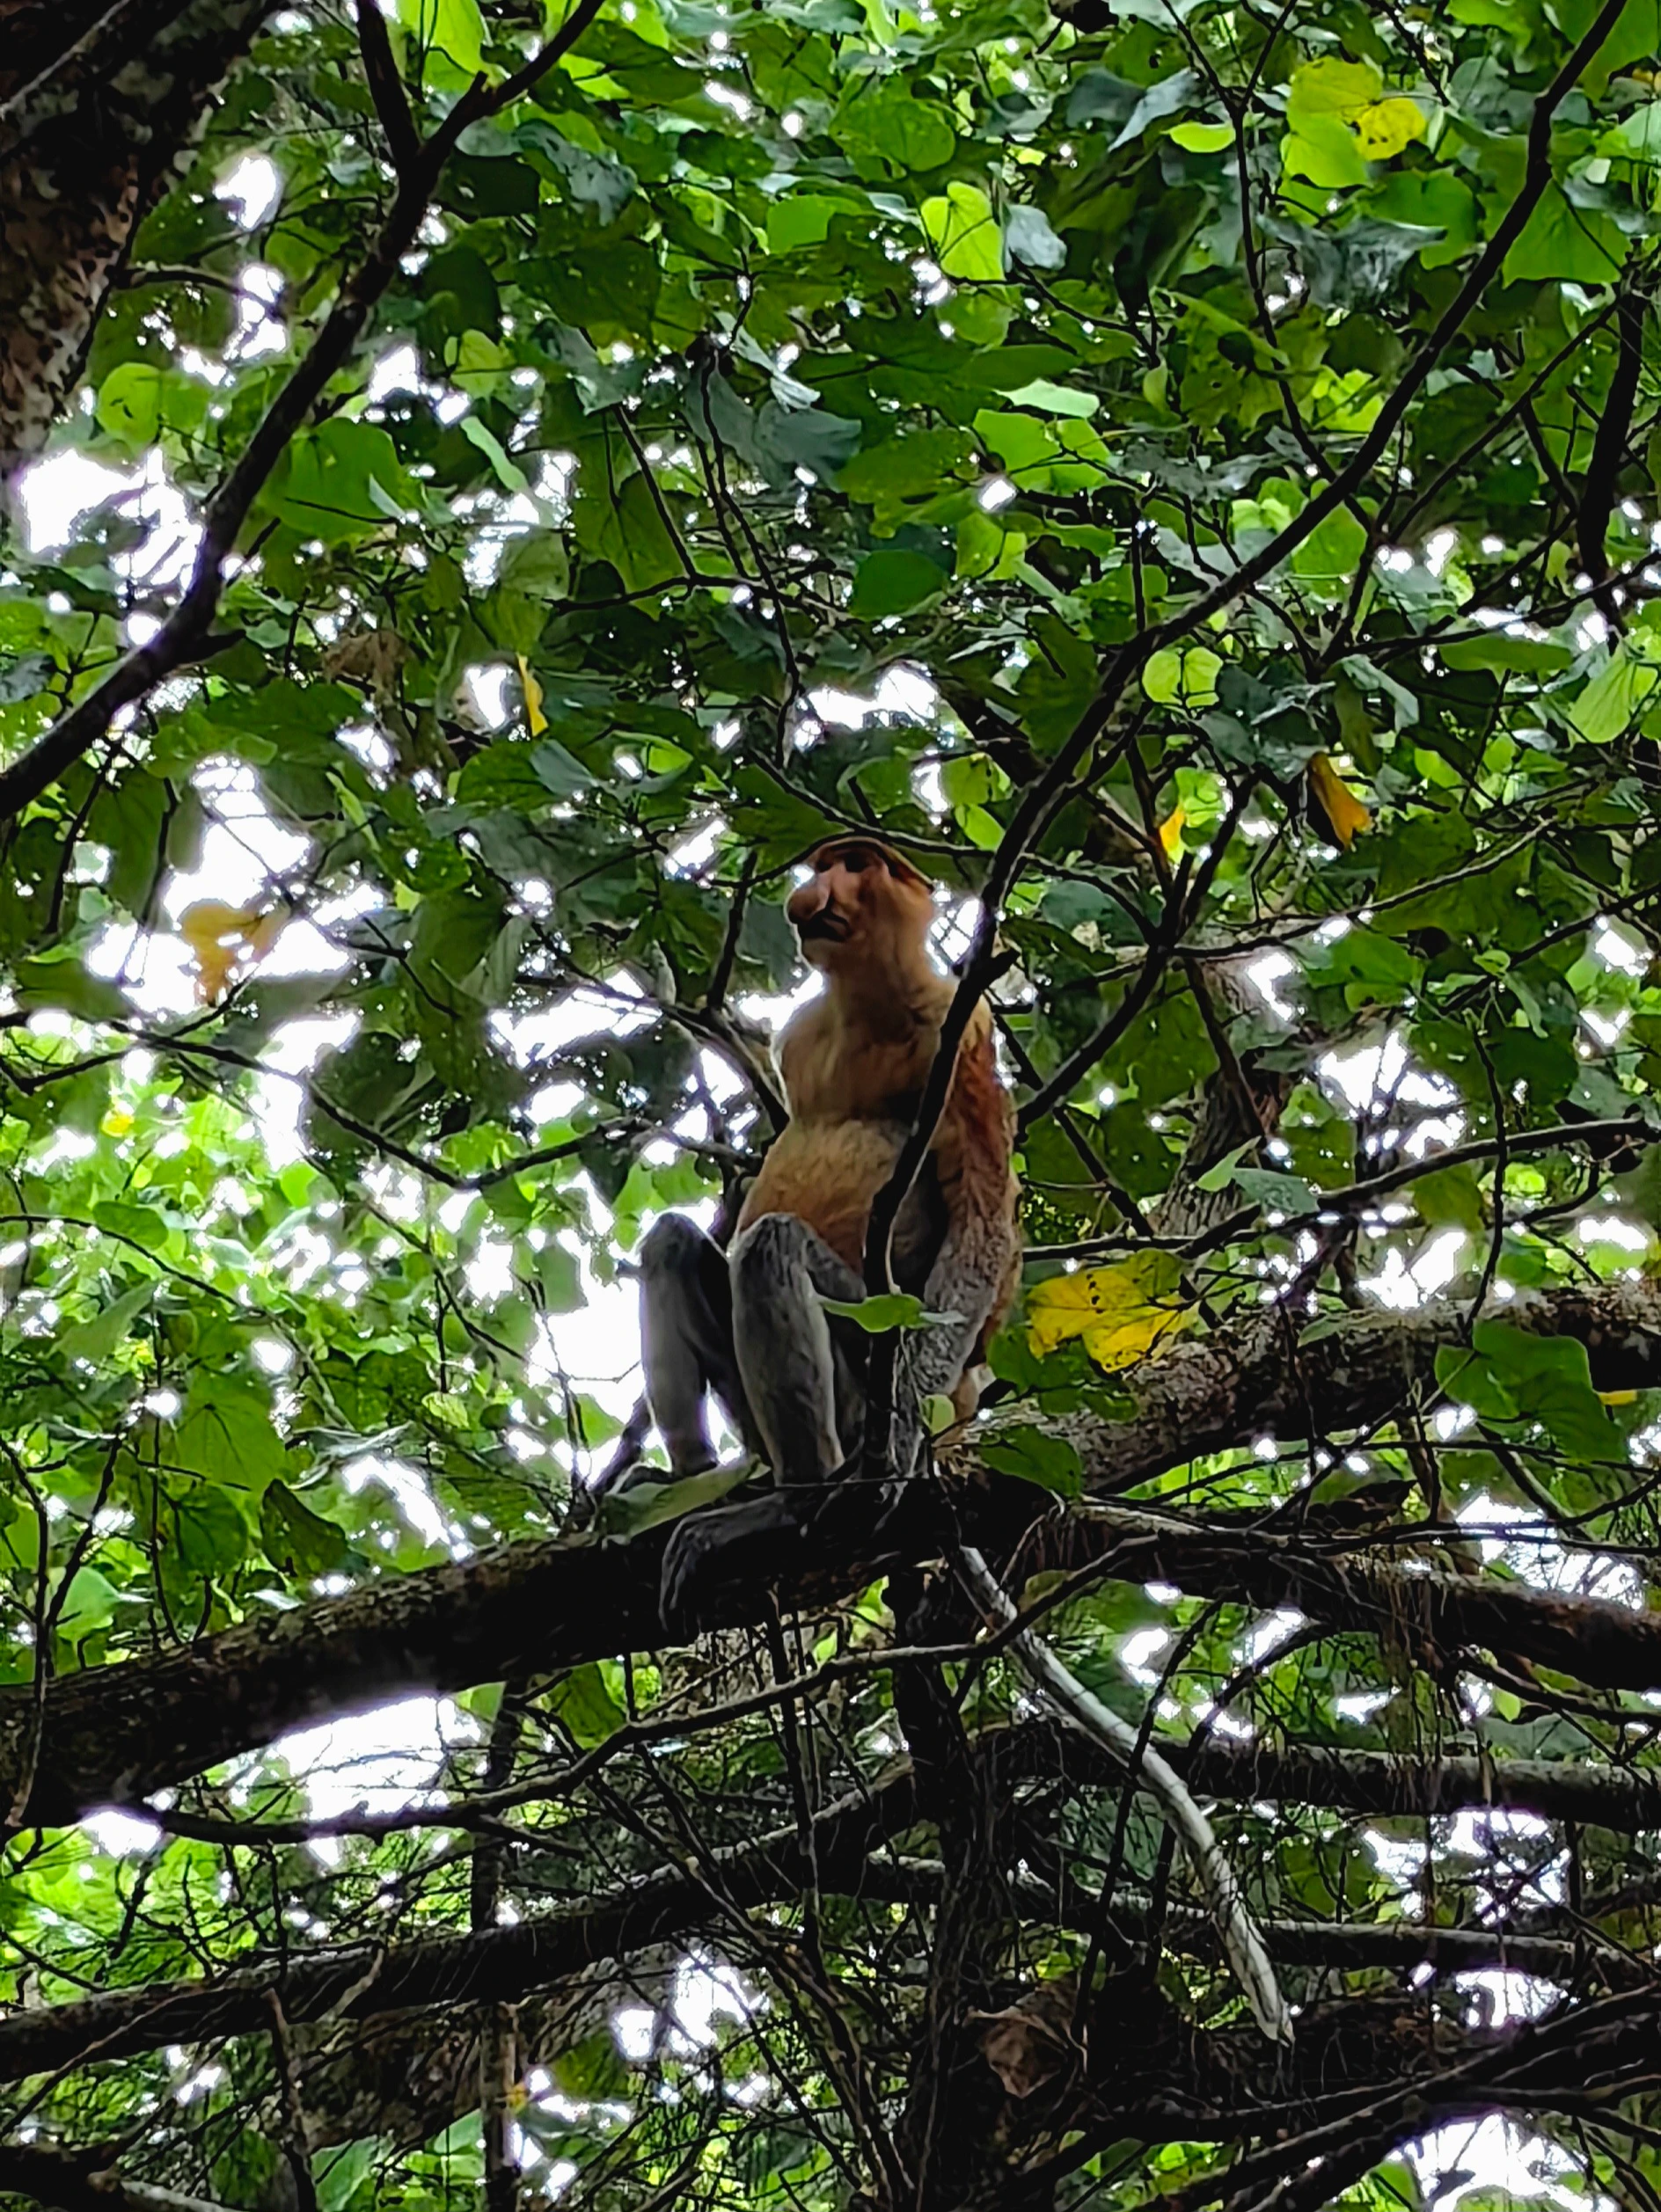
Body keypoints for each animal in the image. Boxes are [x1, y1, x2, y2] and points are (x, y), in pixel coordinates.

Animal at [636, 836, 1021, 1635]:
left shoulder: (960, 1025)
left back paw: (789, 1506)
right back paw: (692, 1478)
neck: (865, 1006)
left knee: (772, 1249)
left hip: (864, 1359)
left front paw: (897, 1452)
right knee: (673, 1245)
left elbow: (983, 1218)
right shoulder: (800, 1034)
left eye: (856, 864)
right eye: (823, 865)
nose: (808, 896)